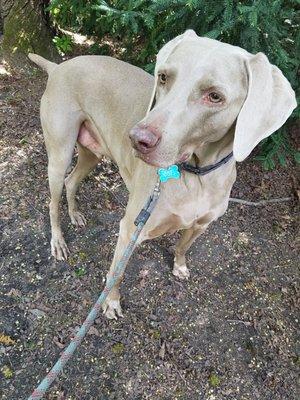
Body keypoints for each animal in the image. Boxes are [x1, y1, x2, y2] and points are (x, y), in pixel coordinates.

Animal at [28, 30, 298, 318]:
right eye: (164, 77)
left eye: (214, 96)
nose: (137, 139)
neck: (198, 175)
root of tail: (59, 67)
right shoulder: (130, 229)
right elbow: (116, 273)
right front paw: (111, 303)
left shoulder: (202, 224)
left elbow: (183, 245)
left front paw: (179, 266)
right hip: (60, 151)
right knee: (53, 200)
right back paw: (58, 241)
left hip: (92, 153)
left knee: (72, 181)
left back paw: (75, 214)